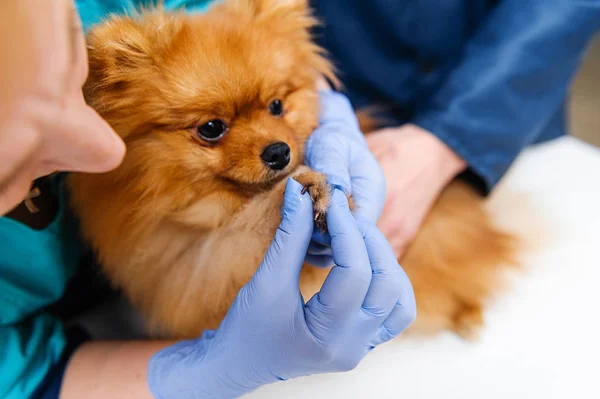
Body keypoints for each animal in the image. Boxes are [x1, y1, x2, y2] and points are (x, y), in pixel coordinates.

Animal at [67, 0, 516, 340]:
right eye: (211, 128)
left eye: (277, 106)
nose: (279, 152)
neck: (210, 212)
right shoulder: (192, 264)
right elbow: (241, 239)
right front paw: (296, 192)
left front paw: (313, 190)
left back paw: (468, 314)